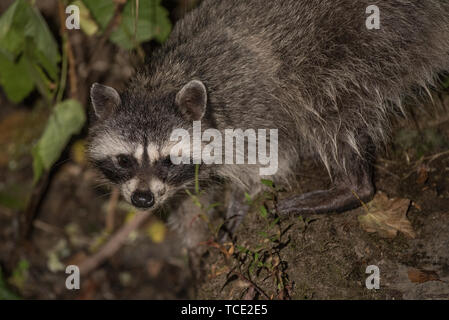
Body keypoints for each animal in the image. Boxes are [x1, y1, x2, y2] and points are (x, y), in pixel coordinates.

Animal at [87, 0, 448, 245]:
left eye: (168, 160)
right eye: (124, 160)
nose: (142, 199)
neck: (164, 81)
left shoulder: (252, 107)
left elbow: (271, 158)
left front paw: (238, 203)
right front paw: (193, 232)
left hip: (362, 50)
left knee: (329, 106)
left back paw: (352, 185)